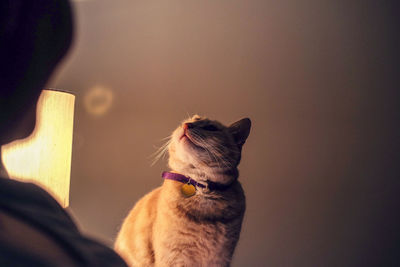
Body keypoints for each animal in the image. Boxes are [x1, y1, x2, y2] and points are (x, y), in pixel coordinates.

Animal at [115, 115, 250, 267]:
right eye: (185, 122)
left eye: (211, 128)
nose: (186, 125)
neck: (201, 186)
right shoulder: (175, 258)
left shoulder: (220, 259)